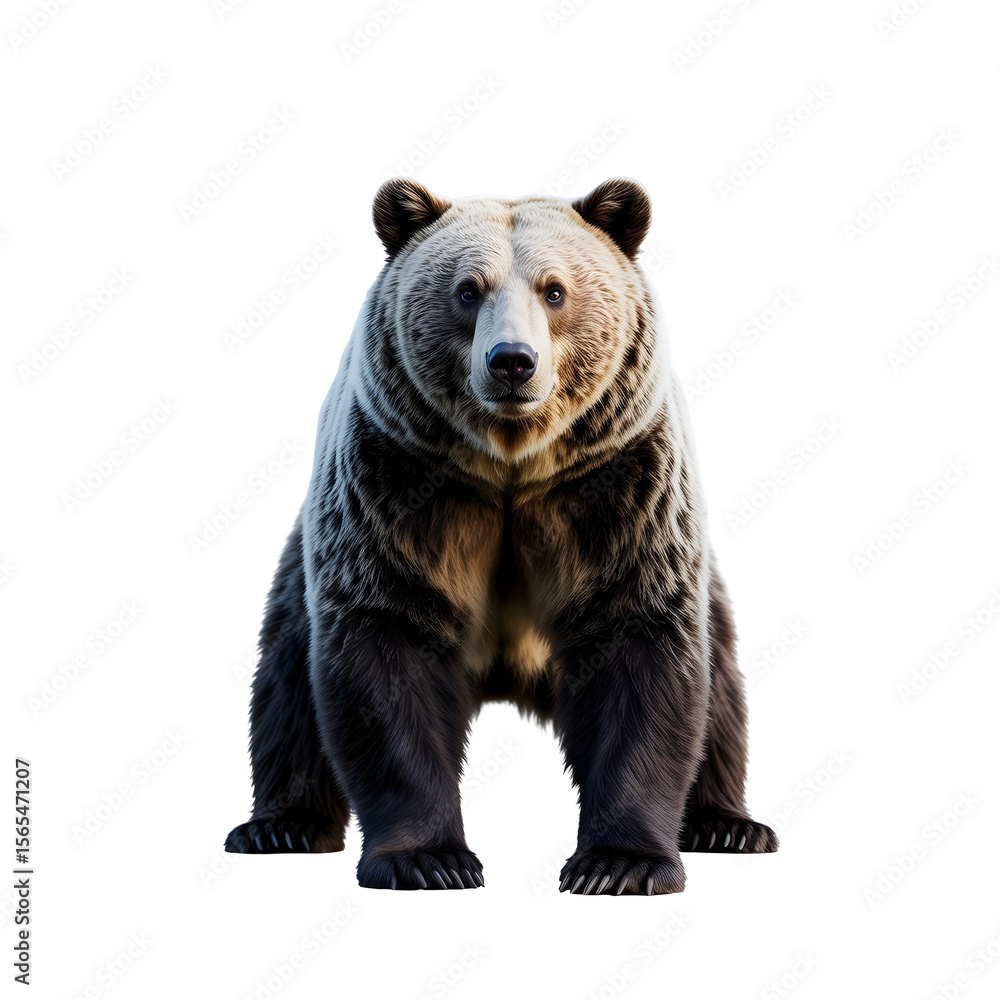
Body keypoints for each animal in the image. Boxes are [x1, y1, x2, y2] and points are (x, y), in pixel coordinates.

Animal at [224, 177, 778, 894]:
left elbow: (641, 650)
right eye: (467, 289)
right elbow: (385, 647)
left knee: (722, 684)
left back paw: (728, 824)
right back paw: (279, 825)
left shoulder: (621, 489)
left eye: (555, 290)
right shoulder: (399, 487)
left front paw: (618, 864)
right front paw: (429, 859)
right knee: (288, 677)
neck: (512, 465)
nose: (512, 361)